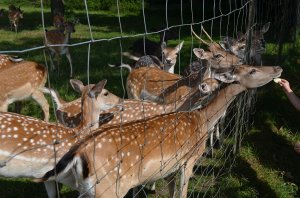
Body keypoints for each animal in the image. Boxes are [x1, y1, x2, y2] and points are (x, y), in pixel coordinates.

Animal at [37, 64, 282, 197]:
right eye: (252, 70)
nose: (278, 68)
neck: (202, 120)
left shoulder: (170, 167)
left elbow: (172, 192)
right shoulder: (188, 160)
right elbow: (182, 193)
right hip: (108, 189)